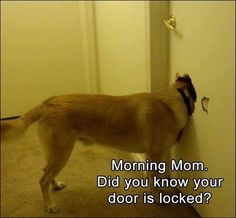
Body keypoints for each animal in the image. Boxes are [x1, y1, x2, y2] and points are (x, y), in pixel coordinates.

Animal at [0, 73, 196, 213]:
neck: (172, 102)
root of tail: (47, 103)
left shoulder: (151, 155)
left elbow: (153, 178)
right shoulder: (155, 155)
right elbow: (154, 179)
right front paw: (157, 197)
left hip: (55, 153)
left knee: (45, 172)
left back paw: (54, 186)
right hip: (62, 153)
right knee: (42, 180)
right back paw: (49, 205)